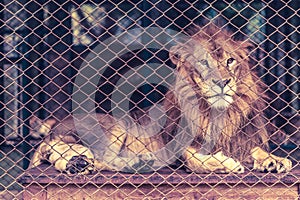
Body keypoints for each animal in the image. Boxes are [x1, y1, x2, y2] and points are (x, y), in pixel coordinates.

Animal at [29, 24, 292, 175]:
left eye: (230, 61)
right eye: (203, 63)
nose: (222, 82)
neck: (215, 112)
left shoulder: (239, 140)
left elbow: (255, 149)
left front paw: (274, 160)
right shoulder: (176, 143)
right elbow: (194, 160)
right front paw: (224, 164)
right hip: (114, 126)